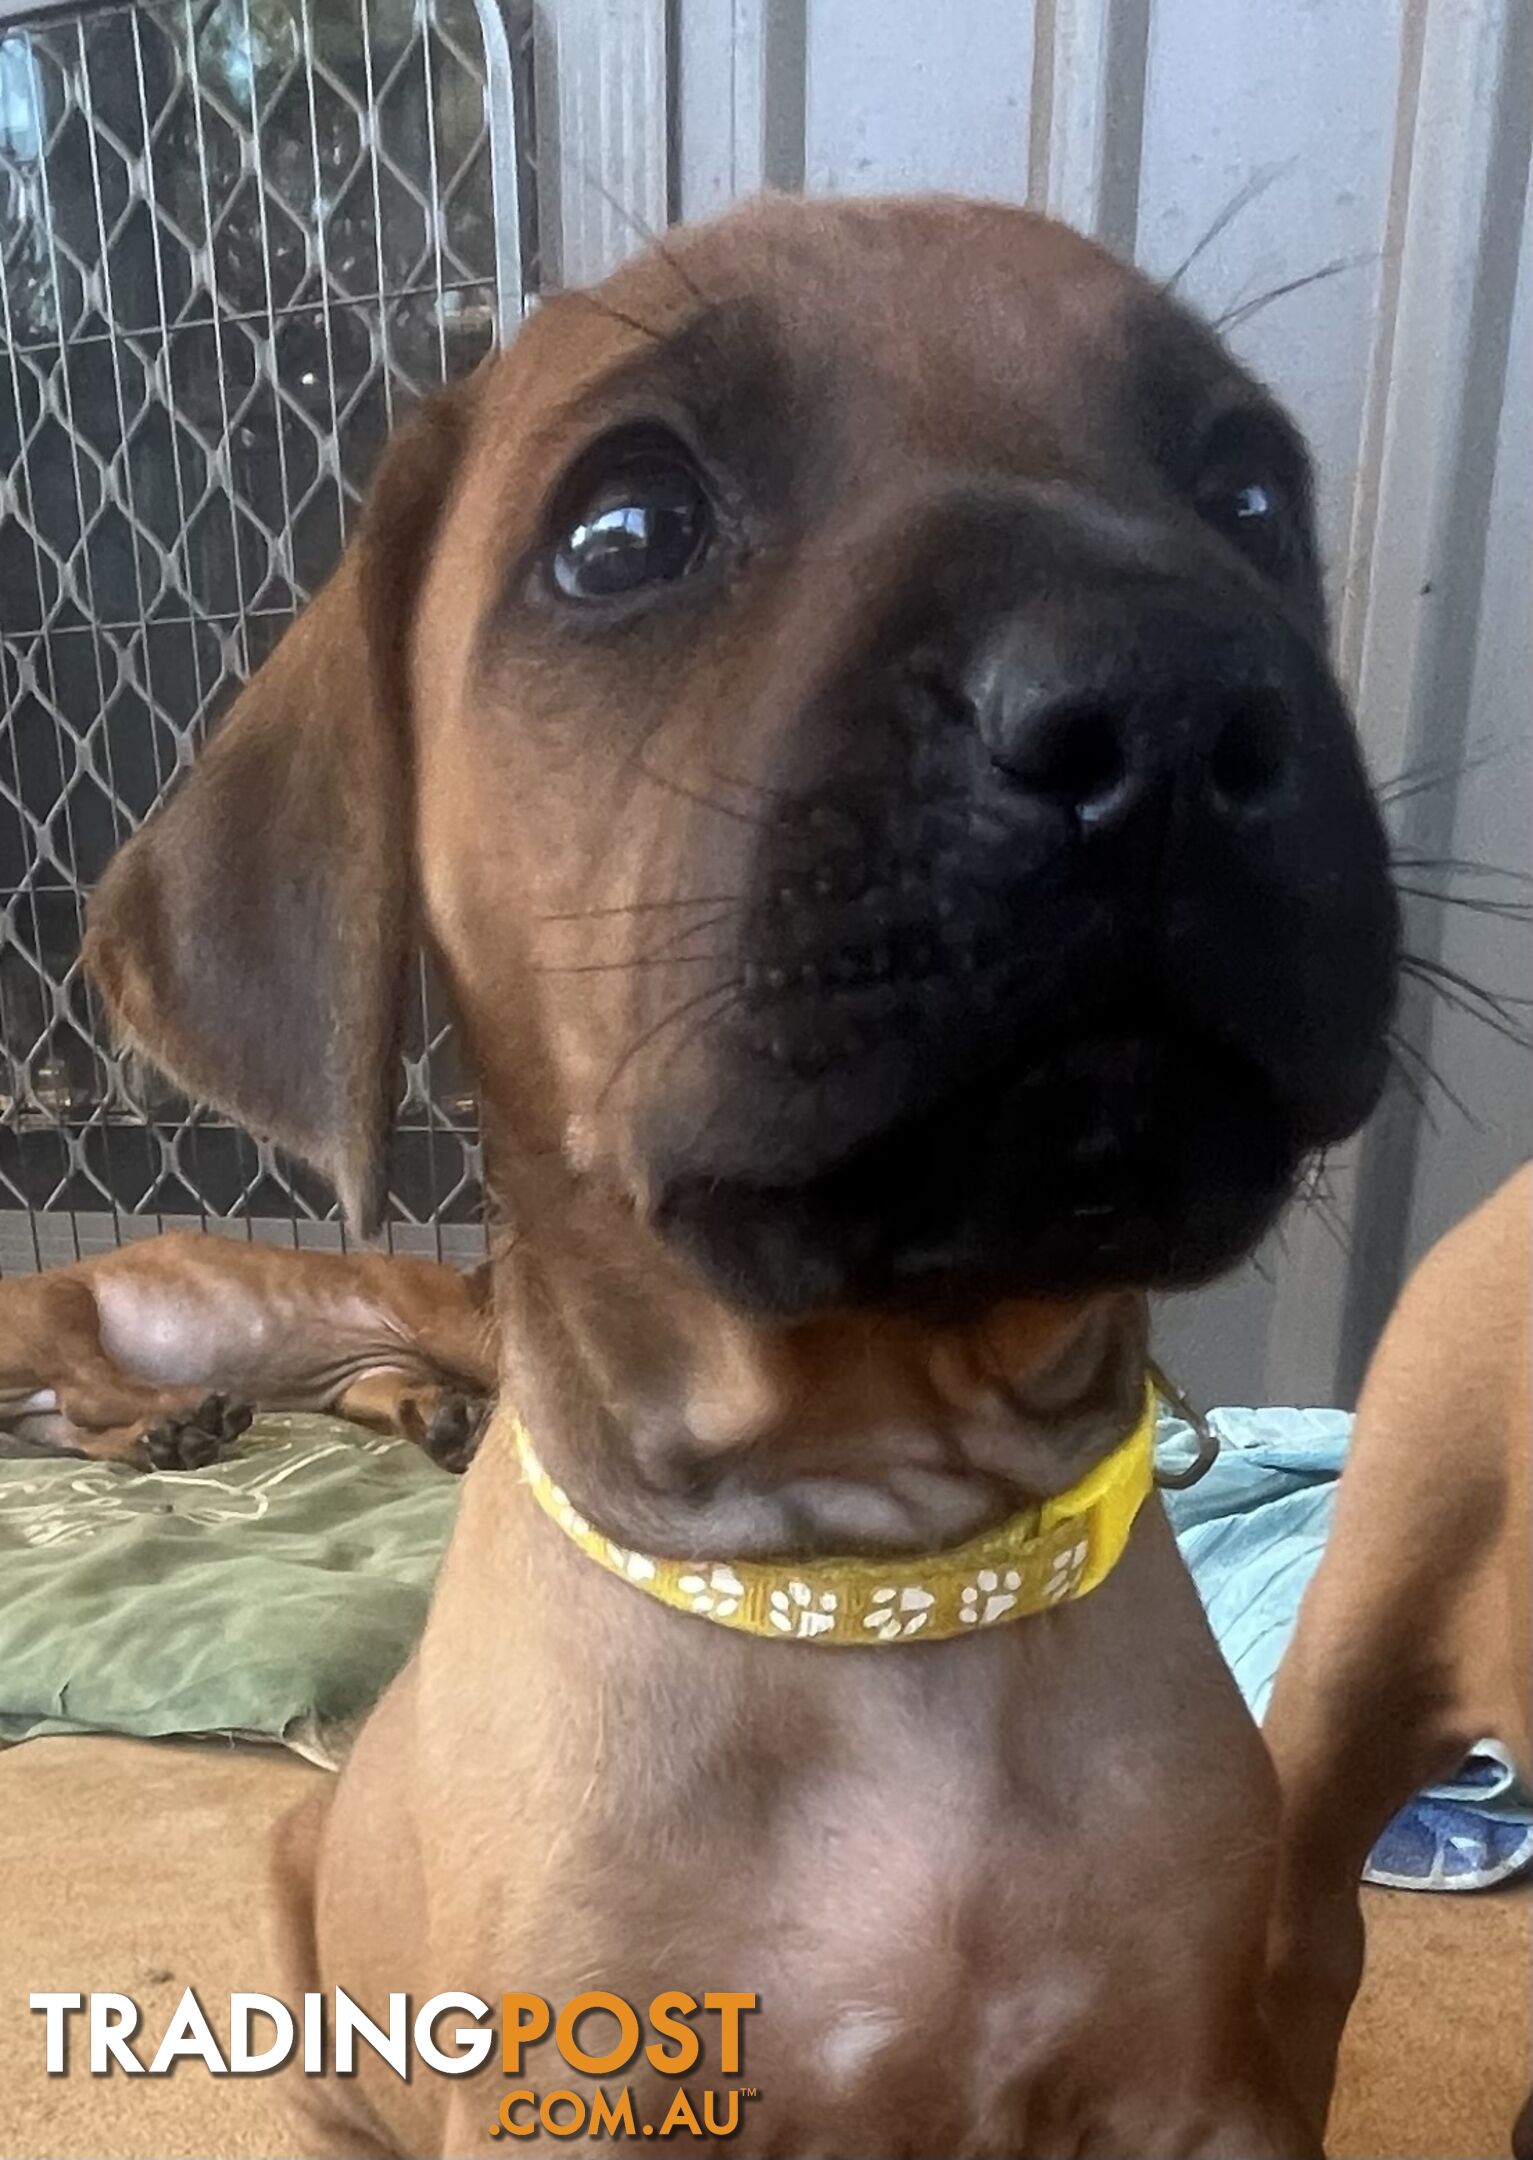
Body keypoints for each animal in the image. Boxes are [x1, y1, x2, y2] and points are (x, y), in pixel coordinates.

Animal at [0, 1235, 492, 1468]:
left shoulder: (369, 1378)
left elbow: (406, 1395)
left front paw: (448, 1421)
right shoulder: (443, 1322)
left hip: (40, 1420)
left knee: (88, 1433)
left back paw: (176, 1440)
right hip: (60, 1299)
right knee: (89, 1390)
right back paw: (200, 1408)